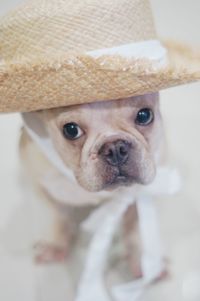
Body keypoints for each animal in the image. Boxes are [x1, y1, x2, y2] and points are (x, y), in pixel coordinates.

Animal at [19, 92, 166, 278]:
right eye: (71, 130)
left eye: (145, 115)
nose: (115, 148)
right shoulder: (43, 186)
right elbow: (59, 217)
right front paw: (56, 245)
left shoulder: (138, 194)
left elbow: (134, 229)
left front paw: (143, 262)